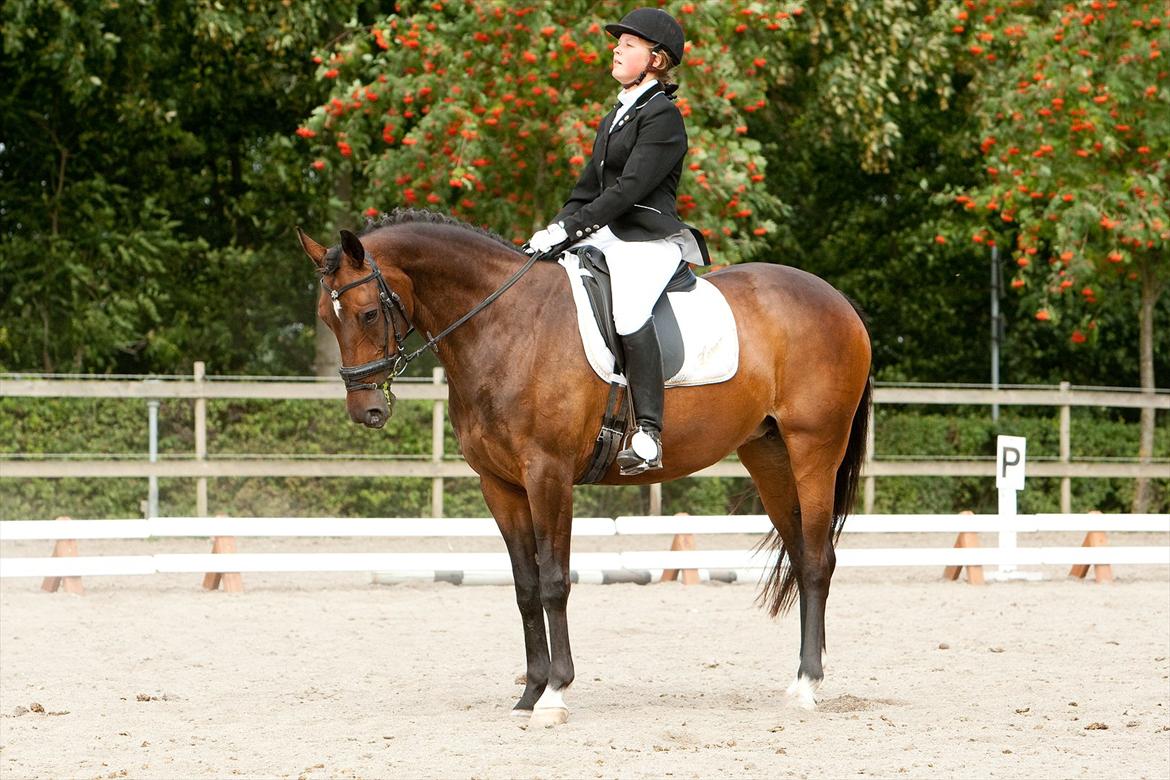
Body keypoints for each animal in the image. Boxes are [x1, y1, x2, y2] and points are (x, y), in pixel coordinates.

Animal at [297, 209, 875, 725]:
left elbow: (555, 580)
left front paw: (555, 694)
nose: (366, 411)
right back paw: (802, 679)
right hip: (768, 455)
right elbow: (525, 587)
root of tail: (839, 301)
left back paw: (807, 686)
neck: (506, 325)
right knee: (800, 554)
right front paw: (529, 693)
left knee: (819, 560)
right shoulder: (500, 485)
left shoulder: (548, 475)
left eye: (368, 313)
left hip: (814, 449)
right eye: (326, 319)